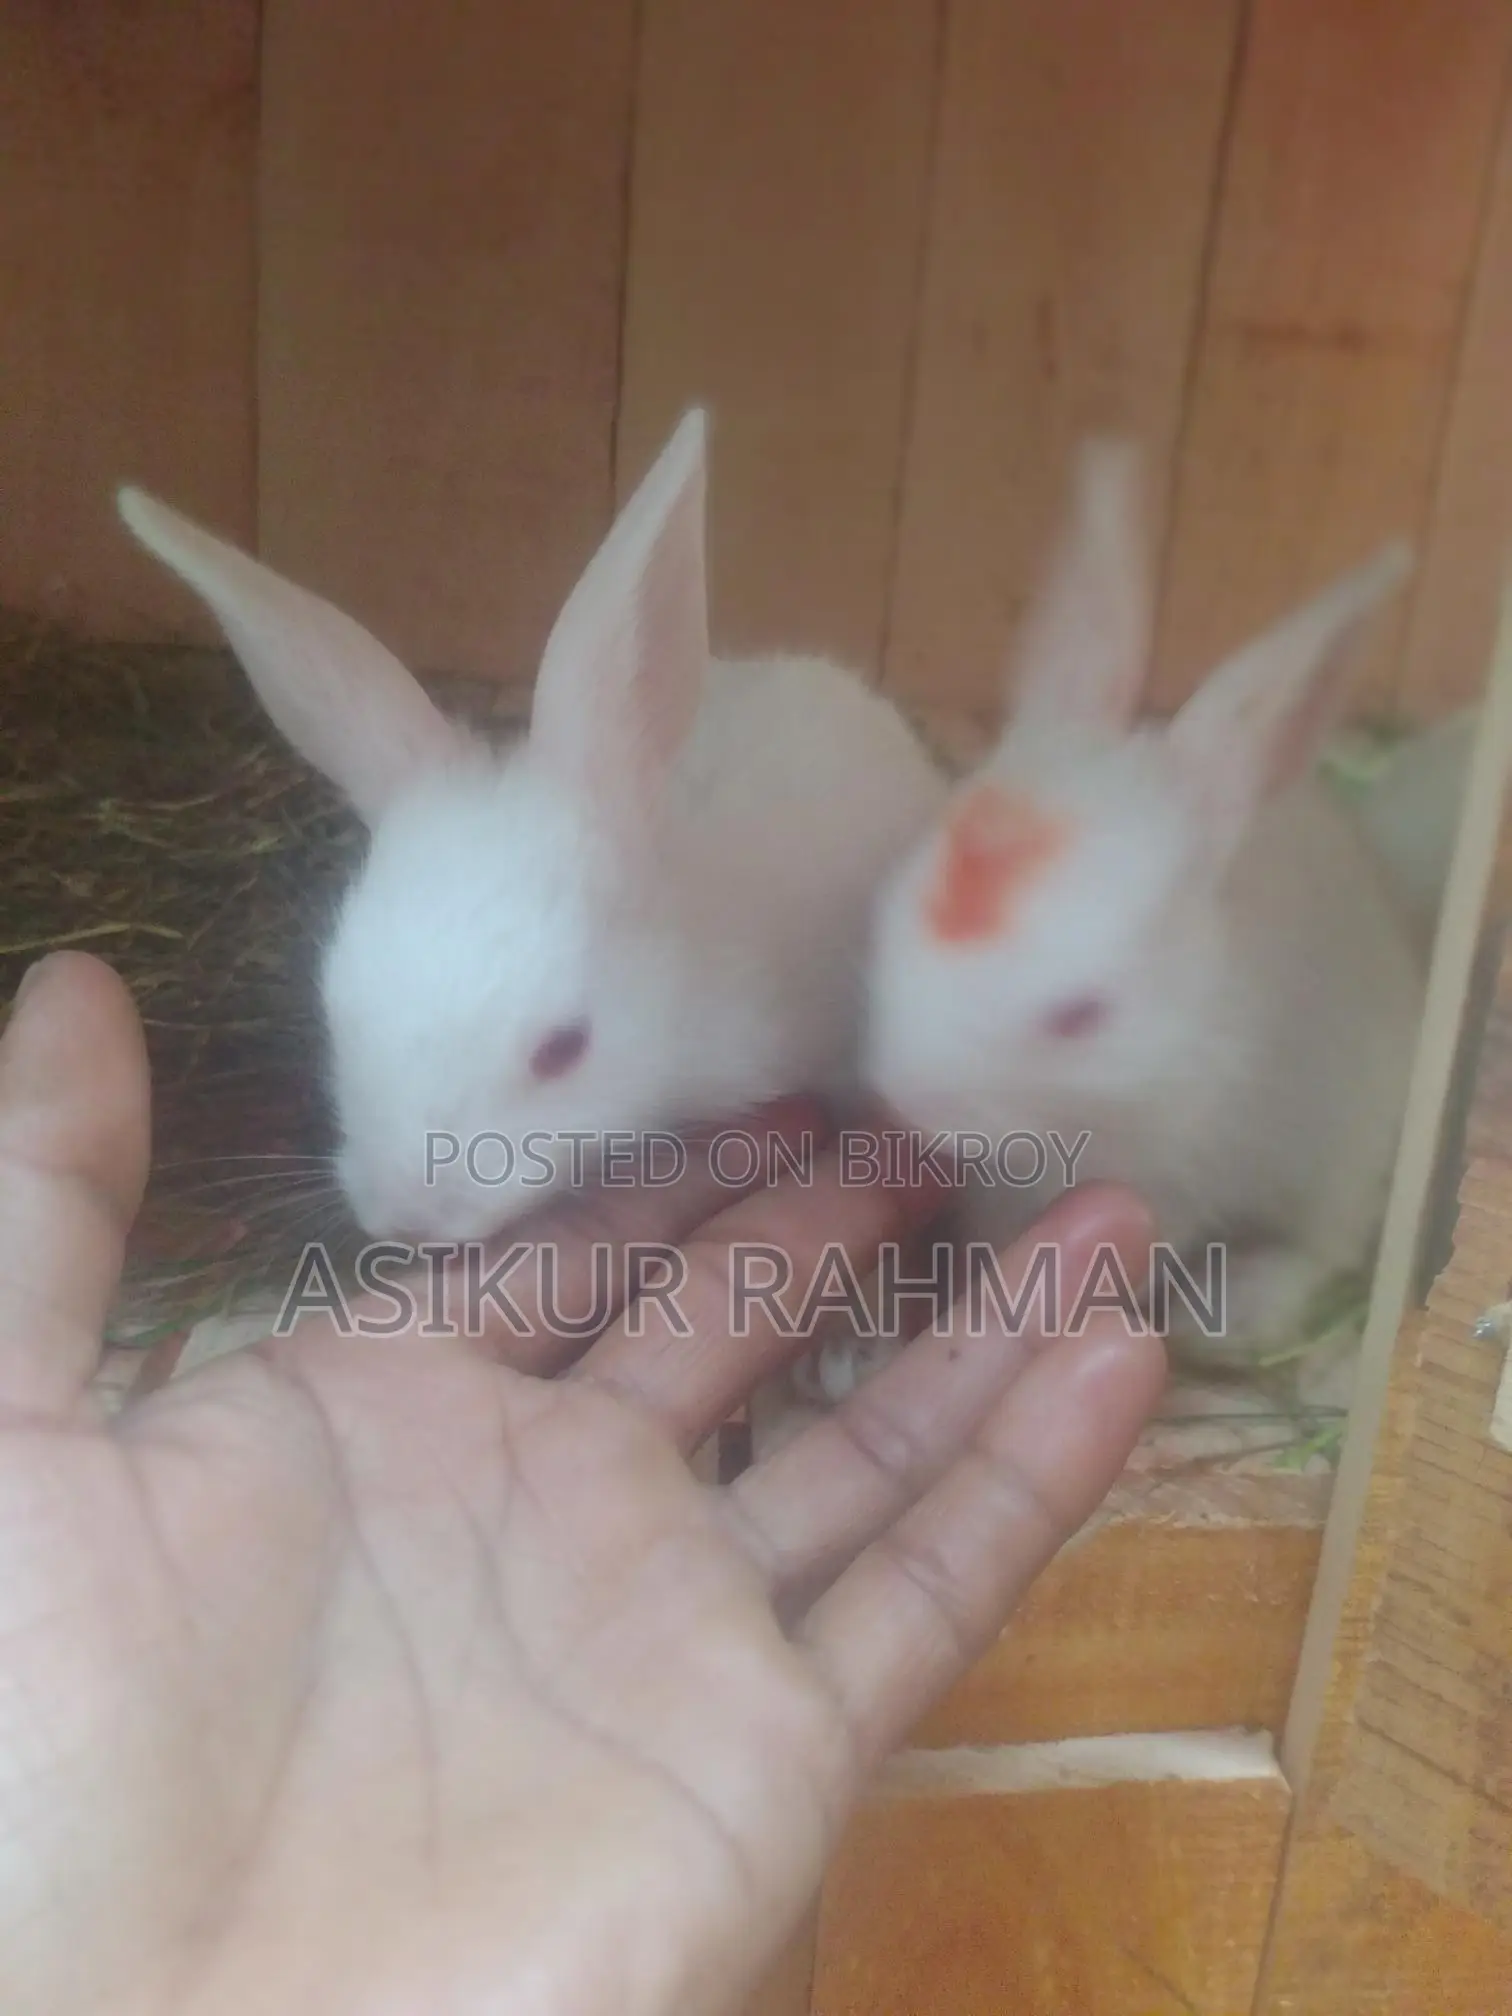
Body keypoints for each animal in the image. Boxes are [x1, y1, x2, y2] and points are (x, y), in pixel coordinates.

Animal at [842, 437, 1428, 1384]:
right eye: (891, 910)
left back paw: (1235, 1315)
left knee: (1321, 1242)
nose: (905, 1095)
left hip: (1348, 1146)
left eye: (1082, 1016)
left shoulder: (1173, 1180)